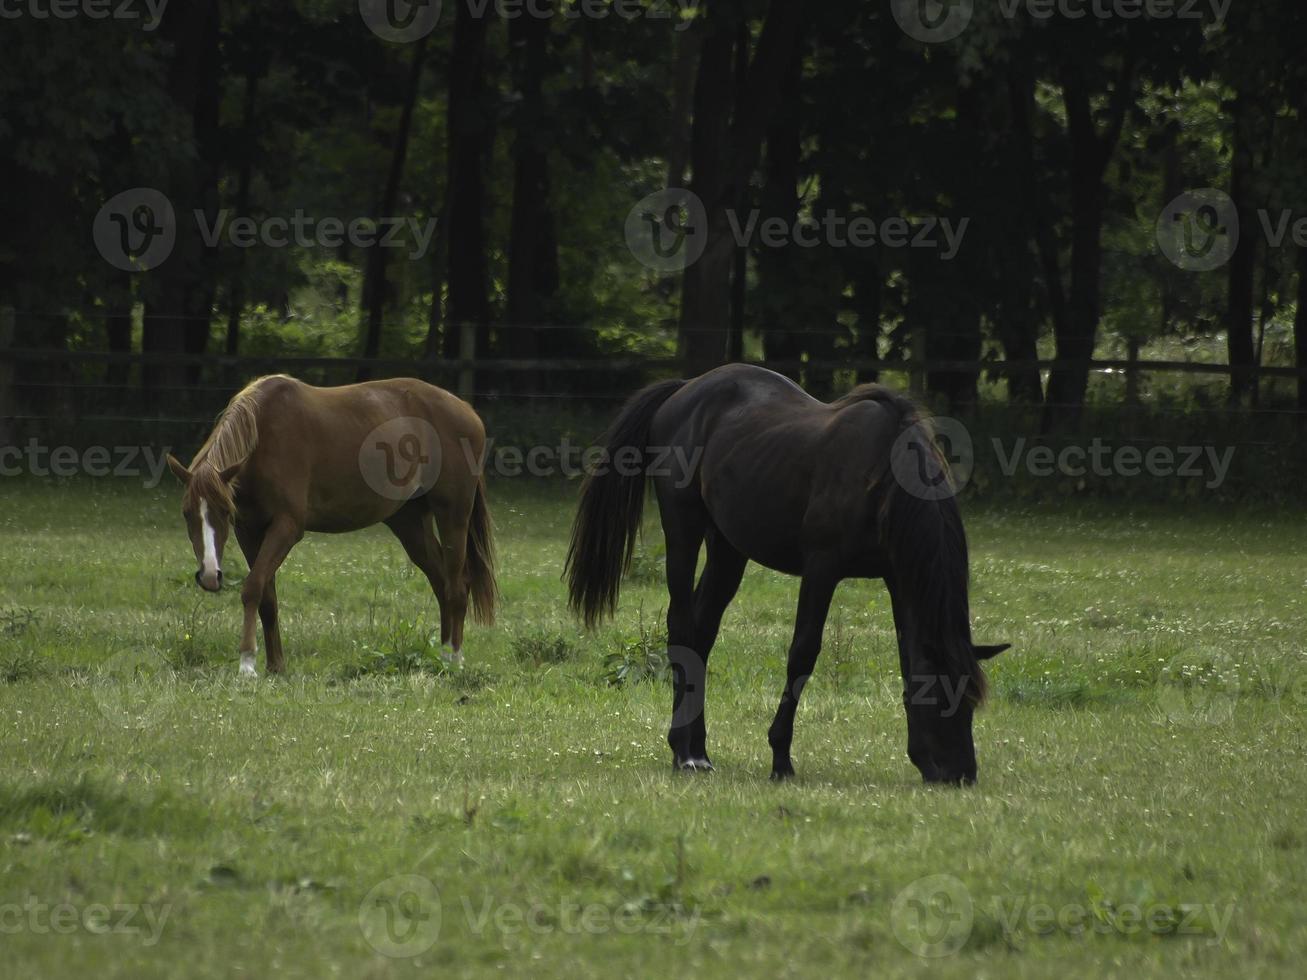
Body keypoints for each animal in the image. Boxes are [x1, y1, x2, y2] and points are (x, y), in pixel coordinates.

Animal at [168, 373, 494, 674]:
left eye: (224, 511)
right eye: (186, 513)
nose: (209, 575)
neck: (264, 435)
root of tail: (468, 412)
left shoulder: (286, 527)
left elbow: (252, 587)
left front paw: (247, 663)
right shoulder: (249, 531)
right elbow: (266, 597)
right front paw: (275, 666)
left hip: (453, 515)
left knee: (456, 586)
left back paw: (454, 659)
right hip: (409, 522)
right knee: (440, 582)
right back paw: (441, 655)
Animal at [569, 365, 1009, 789]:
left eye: (970, 701)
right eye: (941, 699)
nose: (962, 774)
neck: (883, 476)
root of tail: (685, 388)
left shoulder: (898, 577)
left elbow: (907, 658)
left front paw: (922, 761)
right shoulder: (822, 568)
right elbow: (803, 654)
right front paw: (781, 758)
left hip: (728, 547)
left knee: (701, 633)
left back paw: (699, 750)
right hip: (683, 529)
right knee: (680, 626)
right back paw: (683, 753)